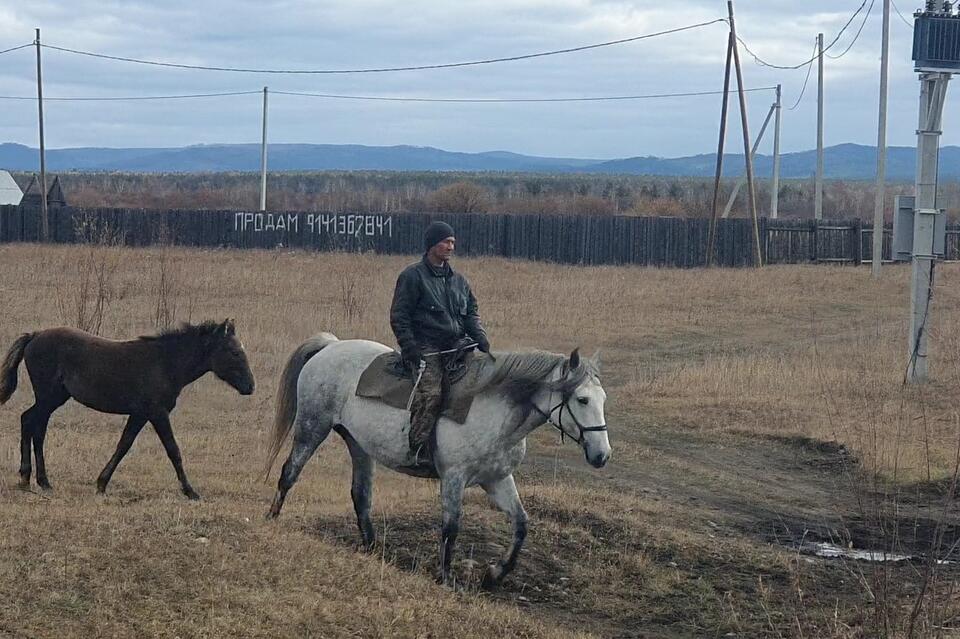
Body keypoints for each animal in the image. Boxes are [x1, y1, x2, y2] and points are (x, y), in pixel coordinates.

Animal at [262, 336, 608, 584]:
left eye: (603, 399)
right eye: (582, 399)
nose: (602, 455)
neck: (493, 409)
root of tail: (331, 345)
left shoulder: (497, 479)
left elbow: (521, 524)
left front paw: (494, 574)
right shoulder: (453, 477)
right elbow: (451, 527)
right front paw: (444, 576)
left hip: (358, 444)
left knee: (361, 495)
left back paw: (373, 549)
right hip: (312, 428)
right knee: (289, 473)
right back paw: (272, 518)